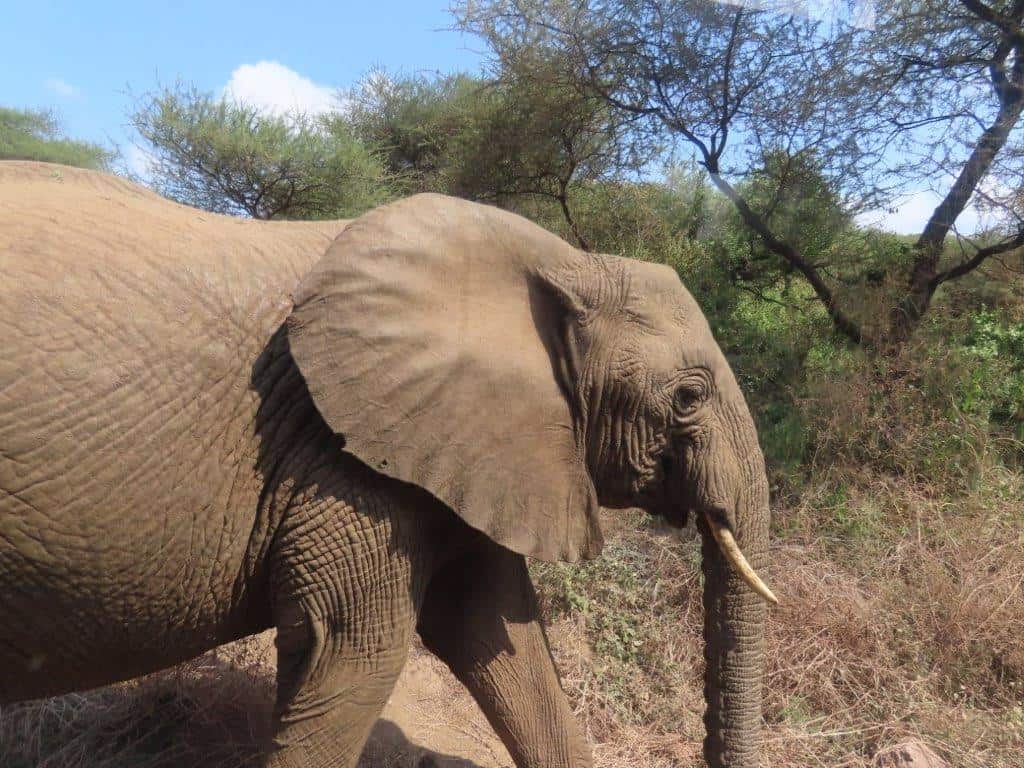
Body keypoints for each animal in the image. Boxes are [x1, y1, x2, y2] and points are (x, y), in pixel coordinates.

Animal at [0, 161, 776, 768]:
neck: (565, 262)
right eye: (689, 398)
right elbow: (354, 655)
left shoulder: (456, 448)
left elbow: (499, 636)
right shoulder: (345, 463)